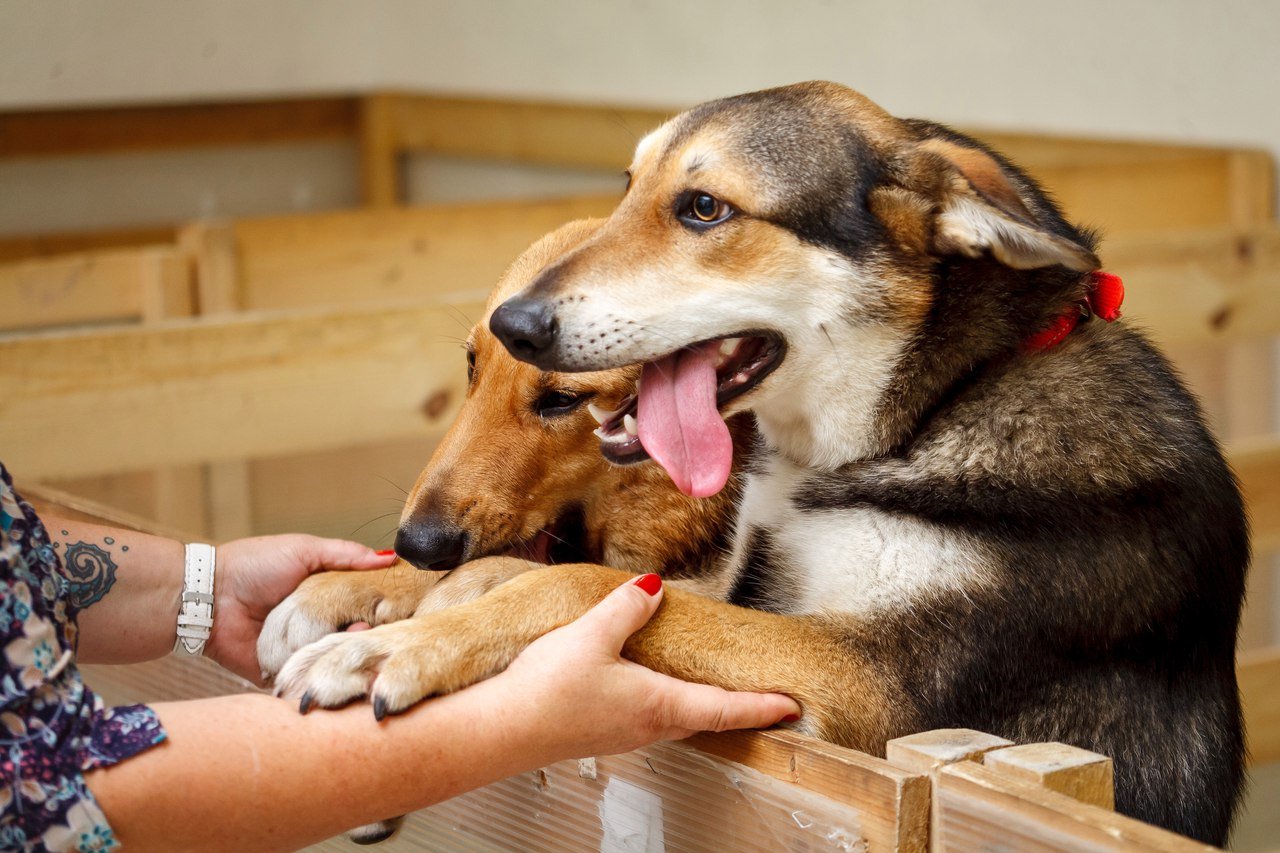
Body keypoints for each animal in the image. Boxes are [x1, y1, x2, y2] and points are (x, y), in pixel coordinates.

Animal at [264, 83, 1244, 840]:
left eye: (705, 208)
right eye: (629, 188)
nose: (516, 323)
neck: (923, 411)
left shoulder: (870, 683)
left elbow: (584, 585)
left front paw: (396, 646)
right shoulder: (743, 586)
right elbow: (544, 570)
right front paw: (362, 590)